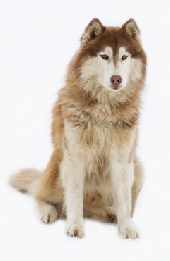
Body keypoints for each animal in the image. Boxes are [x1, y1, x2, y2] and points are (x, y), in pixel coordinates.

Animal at [9, 18, 147, 238]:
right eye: (104, 56)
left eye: (124, 57)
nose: (116, 79)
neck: (105, 108)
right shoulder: (74, 156)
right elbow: (74, 197)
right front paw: (74, 226)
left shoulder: (123, 158)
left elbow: (124, 200)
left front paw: (126, 226)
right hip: (57, 168)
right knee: (40, 193)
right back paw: (48, 211)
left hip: (138, 168)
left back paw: (110, 213)